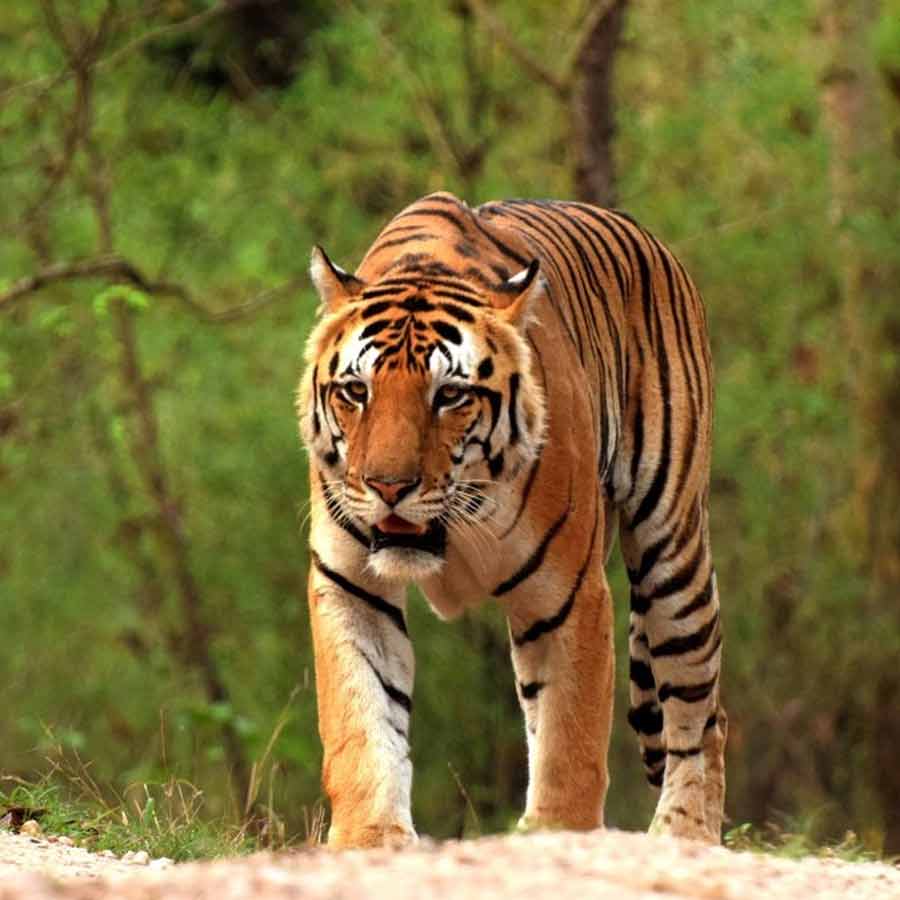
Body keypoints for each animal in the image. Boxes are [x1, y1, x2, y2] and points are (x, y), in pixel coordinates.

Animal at [296, 191, 726, 849]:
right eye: (355, 391)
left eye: (449, 395)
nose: (388, 487)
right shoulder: (351, 583)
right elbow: (361, 719)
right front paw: (369, 837)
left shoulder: (570, 594)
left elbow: (571, 734)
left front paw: (558, 832)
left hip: (672, 552)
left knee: (700, 711)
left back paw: (684, 835)